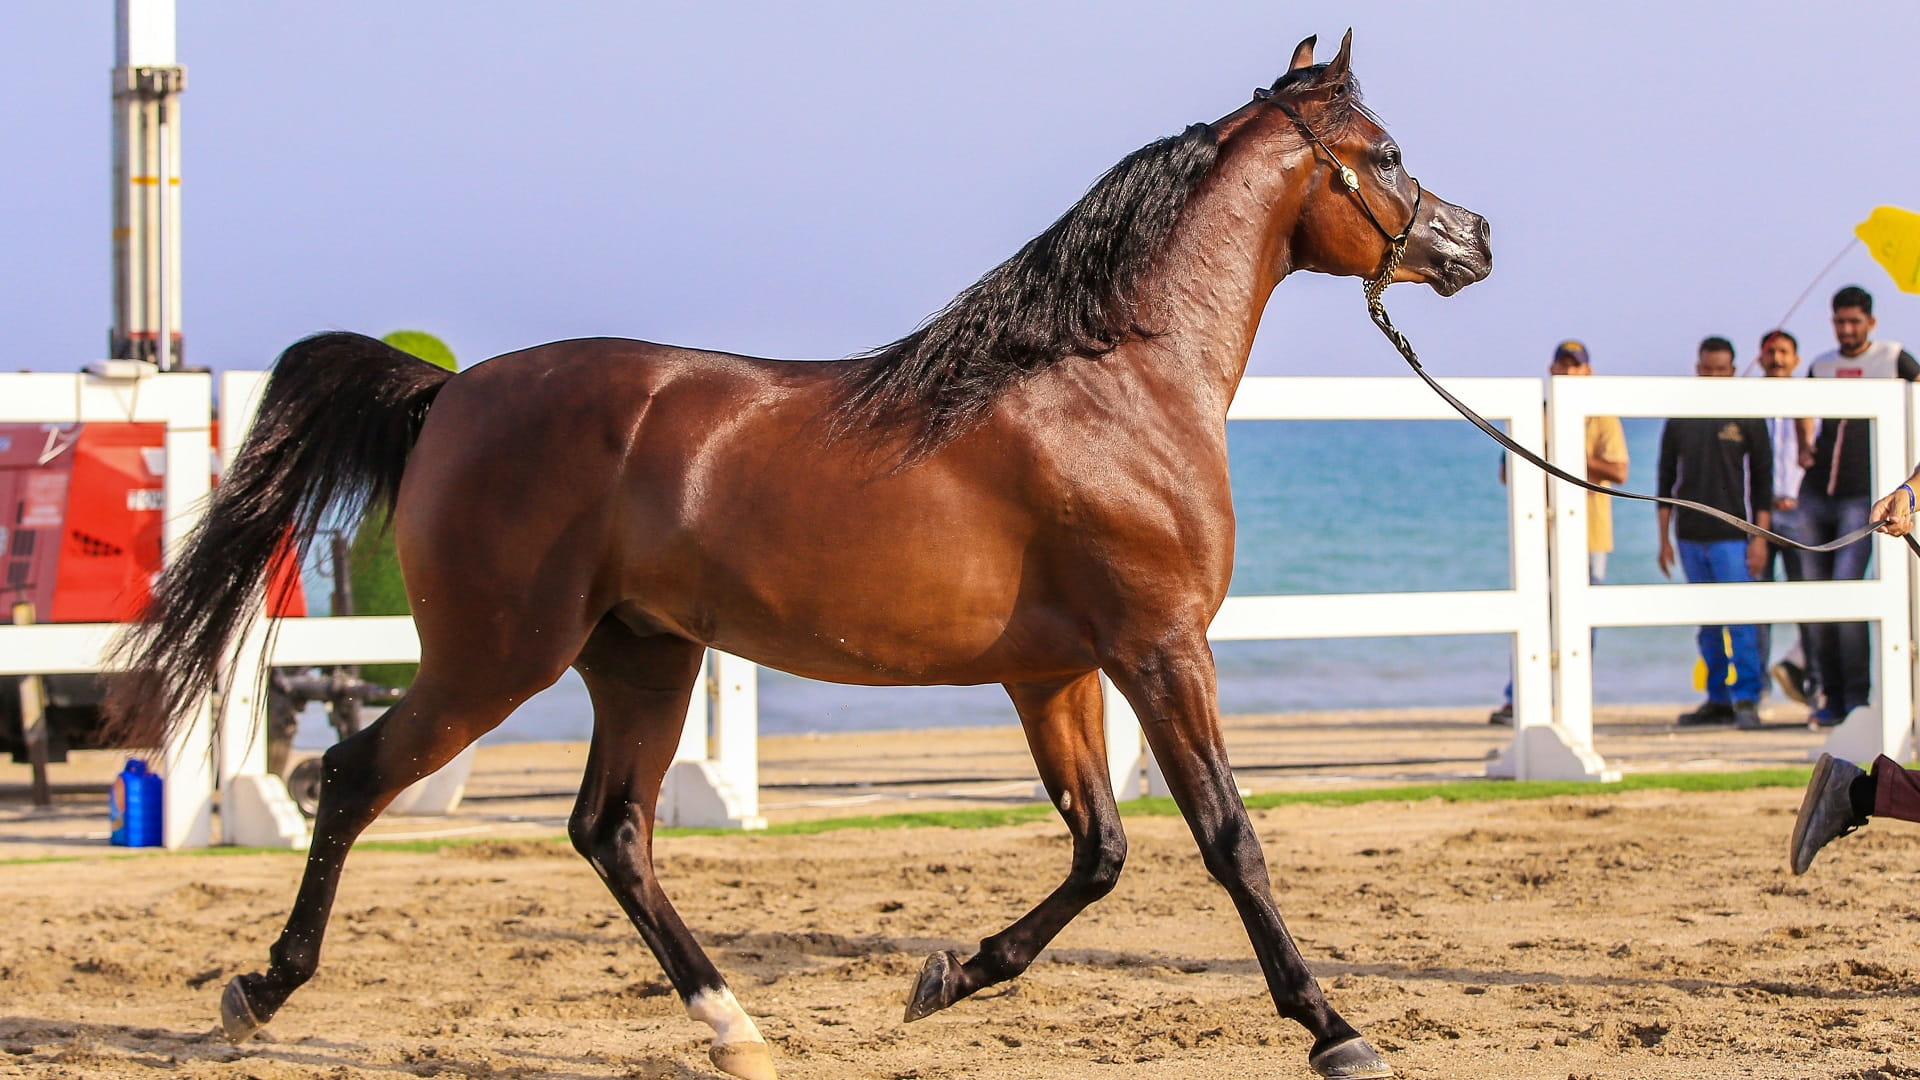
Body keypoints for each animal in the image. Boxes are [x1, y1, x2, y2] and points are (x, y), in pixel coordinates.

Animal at [112, 31, 1497, 1076]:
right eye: (1383, 155)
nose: (1472, 241)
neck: (1114, 388)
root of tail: (446, 394)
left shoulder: (1053, 672)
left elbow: (1099, 848)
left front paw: (947, 975)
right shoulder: (1161, 649)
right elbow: (1225, 836)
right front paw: (1335, 1028)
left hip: (642, 659)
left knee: (612, 831)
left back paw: (734, 1026)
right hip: (496, 659)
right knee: (351, 780)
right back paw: (257, 992)